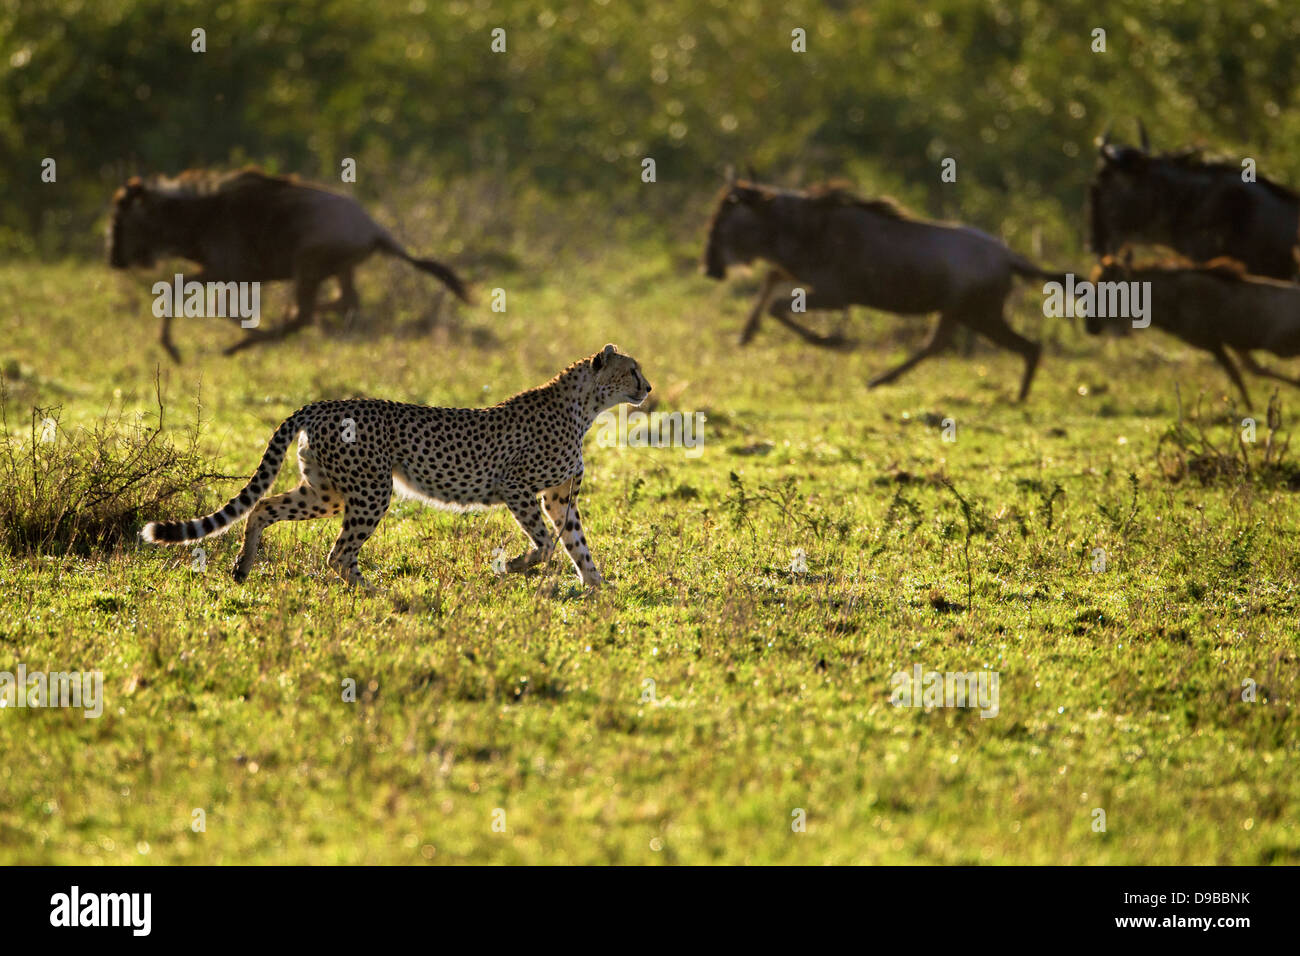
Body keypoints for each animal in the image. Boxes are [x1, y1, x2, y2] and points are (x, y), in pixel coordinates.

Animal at [141, 343, 650, 582]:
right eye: (632, 370)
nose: (648, 388)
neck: (583, 407)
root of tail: (324, 403)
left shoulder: (561, 498)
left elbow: (578, 546)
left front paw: (600, 589)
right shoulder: (517, 487)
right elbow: (545, 545)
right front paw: (512, 567)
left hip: (327, 491)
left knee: (264, 509)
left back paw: (244, 567)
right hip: (372, 490)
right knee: (337, 554)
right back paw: (374, 593)